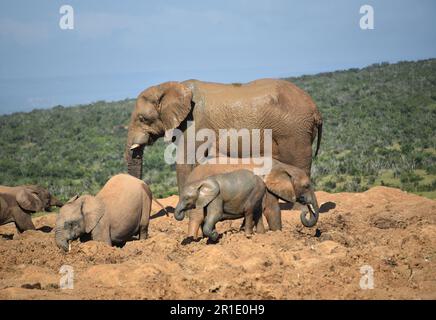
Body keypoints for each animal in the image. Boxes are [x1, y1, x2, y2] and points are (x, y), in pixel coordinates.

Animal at [124, 79, 322, 191]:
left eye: (142, 119)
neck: (166, 87)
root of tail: (315, 108)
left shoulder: (195, 122)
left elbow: (185, 162)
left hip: (294, 130)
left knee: (298, 164)